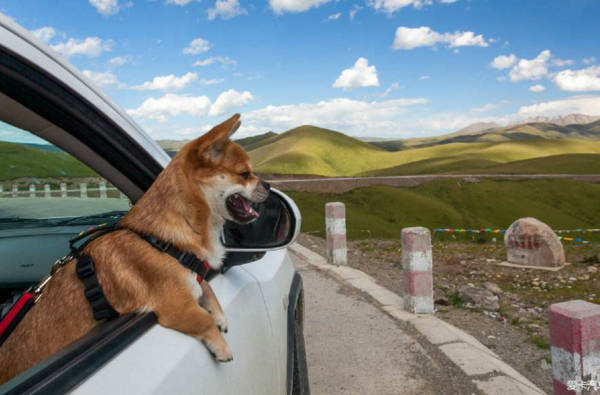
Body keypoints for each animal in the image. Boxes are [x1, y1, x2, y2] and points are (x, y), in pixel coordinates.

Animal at [0, 113, 268, 384]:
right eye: (244, 173)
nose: (267, 185)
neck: (159, 238)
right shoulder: (176, 306)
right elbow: (203, 319)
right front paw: (221, 346)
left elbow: (205, 285)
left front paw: (219, 314)